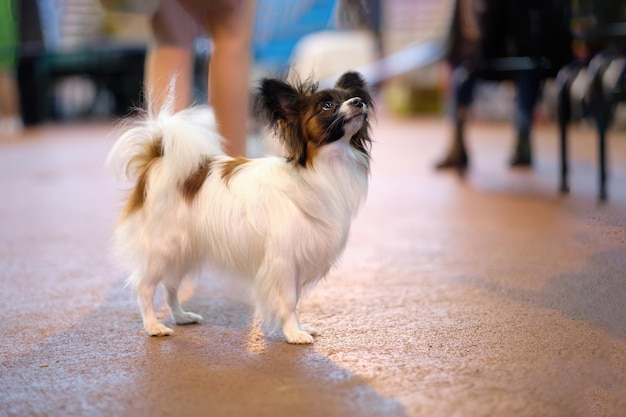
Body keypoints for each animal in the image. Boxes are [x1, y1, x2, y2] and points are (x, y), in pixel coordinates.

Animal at [106, 71, 370, 342]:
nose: (359, 101)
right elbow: (287, 301)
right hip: (163, 249)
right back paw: (153, 326)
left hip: (182, 251)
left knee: (170, 287)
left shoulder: (296, 260)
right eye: (327, 105)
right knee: (145, 288)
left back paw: (181, 317)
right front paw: (293, 333)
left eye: (349, 97)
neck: (319, 169)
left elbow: (294, 300)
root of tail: (157, 160)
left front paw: (299, 327)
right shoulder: (283, 260)